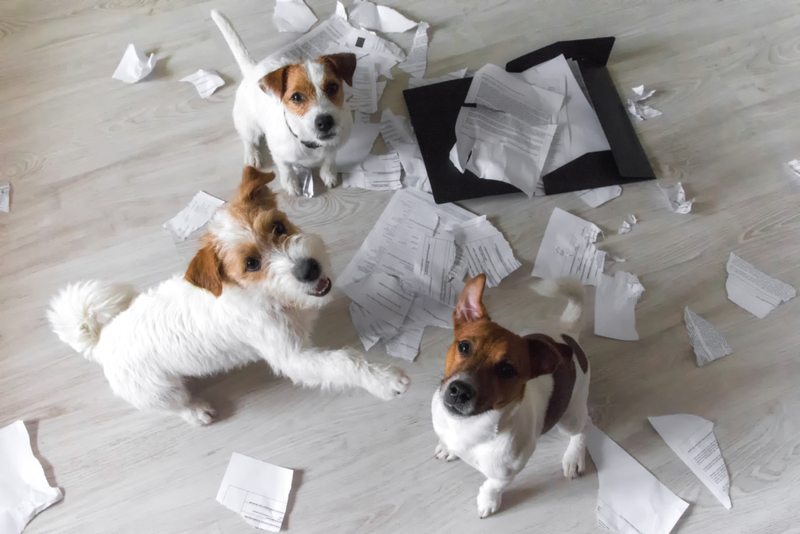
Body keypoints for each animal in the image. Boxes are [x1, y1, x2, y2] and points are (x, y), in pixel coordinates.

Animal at [48, 168, 412, 428]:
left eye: (278, 227)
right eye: (251, 264)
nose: (310, 268)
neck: (265, 294)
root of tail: (101, 342)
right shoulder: (294, 358)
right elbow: (344, 360)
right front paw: (384, 379)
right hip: (159, 390)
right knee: (175, 406)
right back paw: (196, 412)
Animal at [211, 8, 354, 197]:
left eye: (332, 87)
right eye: (296, 97)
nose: (324, 122)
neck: (311, 144)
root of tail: (253, 69)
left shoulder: (335, 144)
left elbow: (330, 157)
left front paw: (329, 172)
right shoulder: (279, 154)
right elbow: (286, 168)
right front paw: (291, 183)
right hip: (248, 124)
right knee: (248, 139)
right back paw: (252, 154)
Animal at [432, 274, 588, 516]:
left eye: (507, 370)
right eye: (464, 346)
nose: (460, 391)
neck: (468, 428)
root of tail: (567, 334)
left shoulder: (506, 474)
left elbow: (492, 485)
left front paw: (487, 502)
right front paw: (448, 447)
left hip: (569, 416)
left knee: (582, 428)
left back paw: (574, 456)